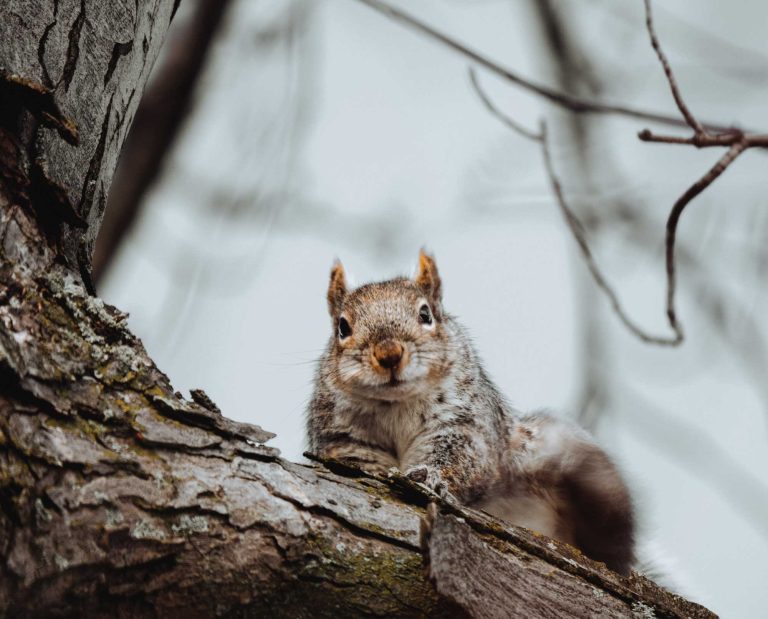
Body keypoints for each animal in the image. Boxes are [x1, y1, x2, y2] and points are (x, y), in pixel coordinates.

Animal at [307, 250, 635, 575]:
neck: (396, 404)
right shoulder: (344, 436)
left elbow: (462, 459)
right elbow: (357, 460)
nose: (389, 354)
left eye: (426, 315)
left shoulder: (464, 424)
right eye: (342, 327)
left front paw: (429, 476)